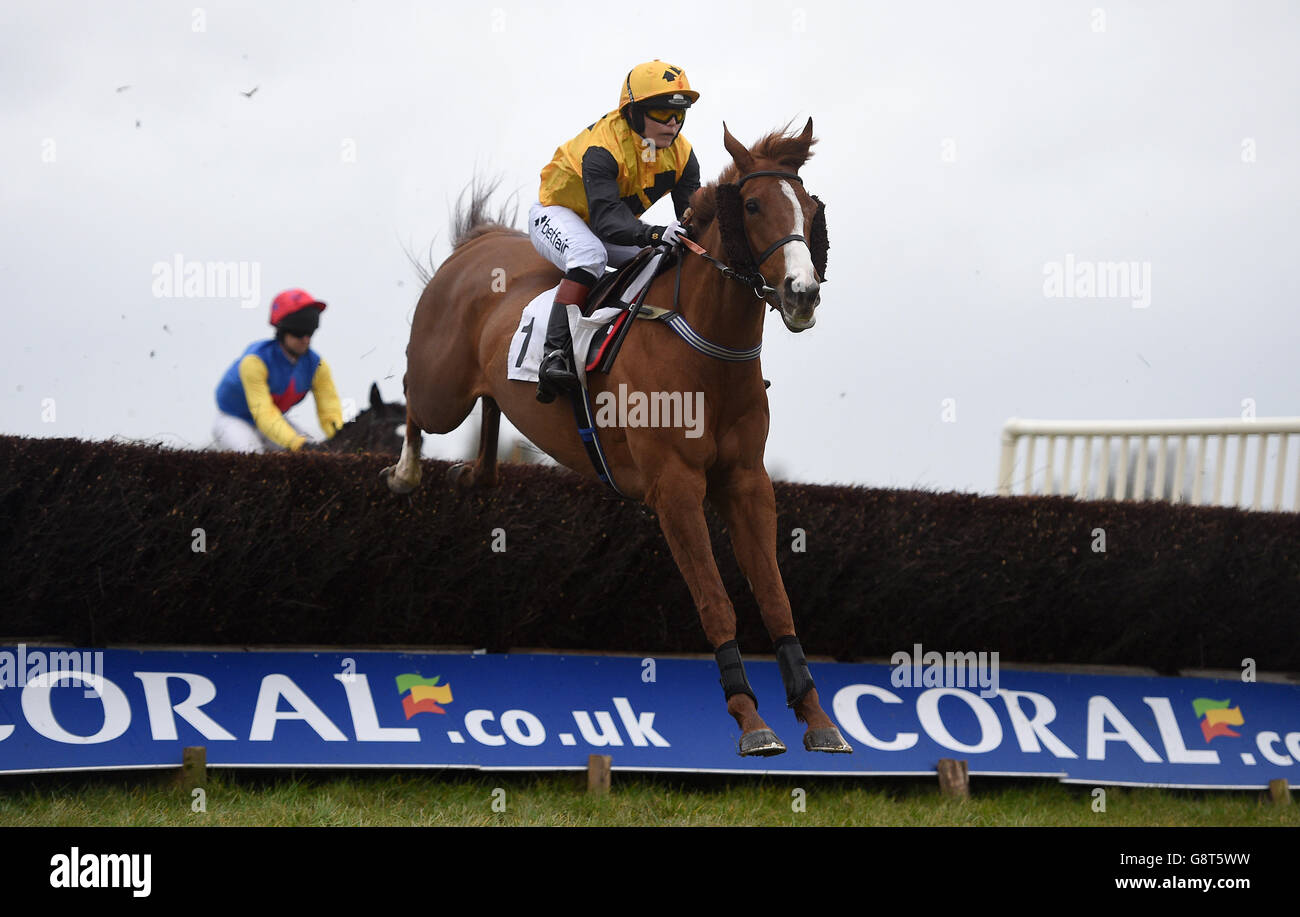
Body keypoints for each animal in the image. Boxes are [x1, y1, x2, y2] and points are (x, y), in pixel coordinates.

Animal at [382, 118, 852, 754]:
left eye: (811, 208)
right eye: (753, 206)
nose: (803, 293)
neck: (705, 343)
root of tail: (477, 244)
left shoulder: (746, 482)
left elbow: (776, 600)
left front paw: (818, 718)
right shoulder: (674, 487)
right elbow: (716, 602)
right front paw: (751, 721)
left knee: (490, 414)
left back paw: (475, 472)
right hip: (441, 390)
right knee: (415, 397)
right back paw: (406, 474)